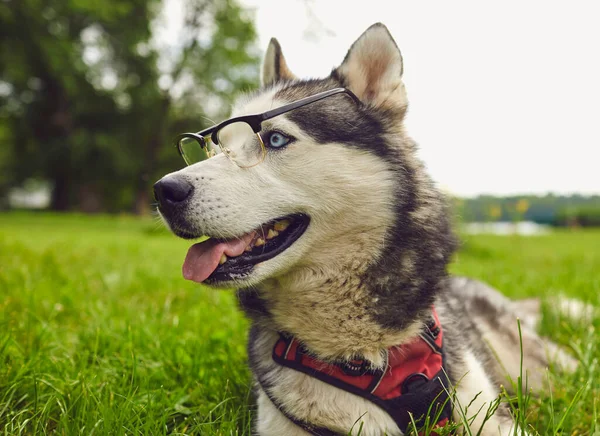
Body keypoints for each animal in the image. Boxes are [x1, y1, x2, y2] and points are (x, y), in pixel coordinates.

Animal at [154, 24, 576, 436]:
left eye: (274, 139)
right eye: (216, 147)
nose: (164, 191)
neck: (364, 355)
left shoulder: (489, 414)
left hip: (534, 367)